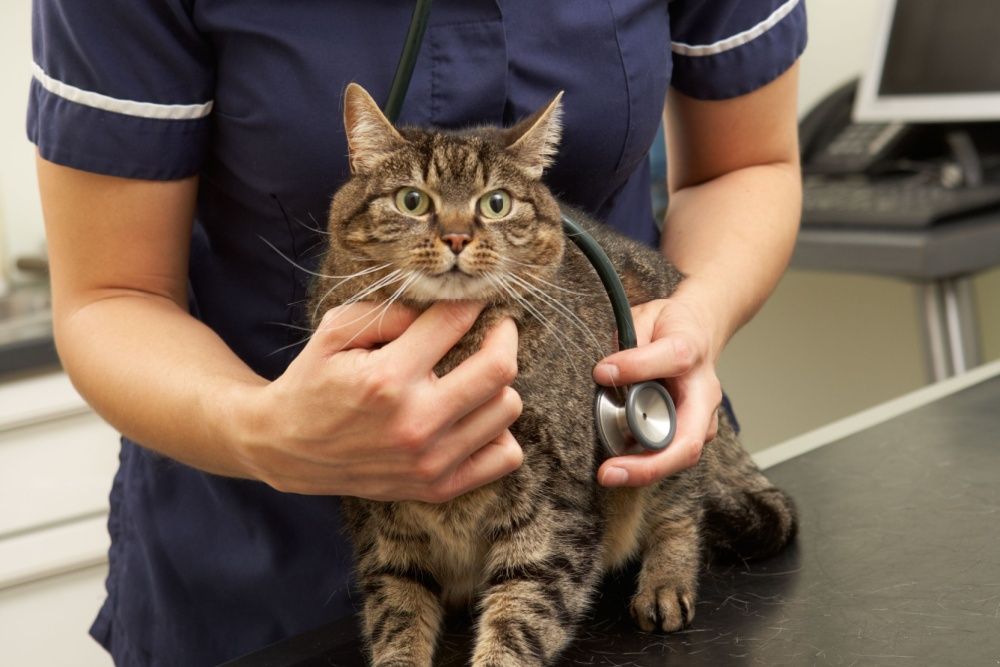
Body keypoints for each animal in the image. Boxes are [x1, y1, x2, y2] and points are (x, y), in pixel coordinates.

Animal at [306, 85, 796, 667]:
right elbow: (395, 616)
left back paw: (664, 584)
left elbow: (521, 619)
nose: (456, 237)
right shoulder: (381, 521)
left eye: (495, 203)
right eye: (412, 200)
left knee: (682, 512)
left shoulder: (554, 510)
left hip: (670, 449)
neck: (453, 353)